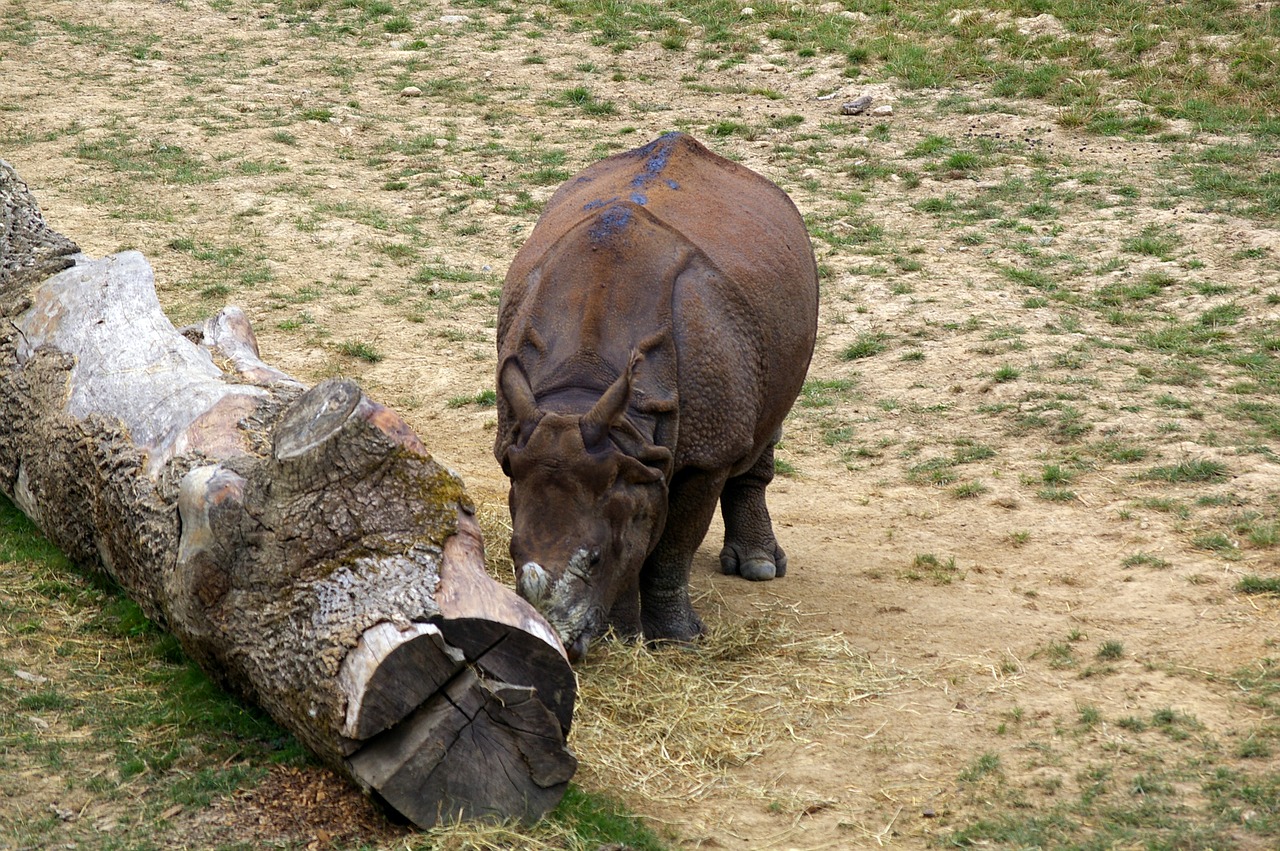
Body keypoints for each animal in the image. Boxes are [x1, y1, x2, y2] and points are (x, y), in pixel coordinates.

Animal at [494, 134, 814, 665]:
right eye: (514, 553)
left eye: (594, 559)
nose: (561, 644)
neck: (583, 394)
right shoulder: (595, 448)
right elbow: (635, 535)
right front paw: (622, 636)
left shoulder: (706, 452)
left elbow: (673, 545)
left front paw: (677, 641)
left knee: (767, 422)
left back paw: (760, 568)